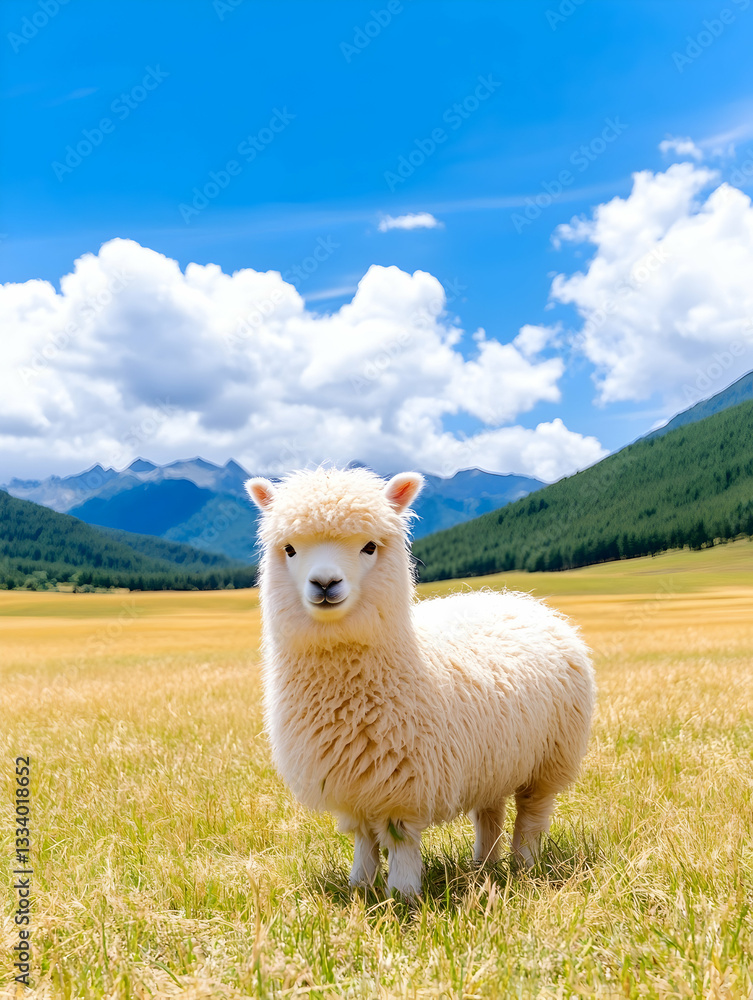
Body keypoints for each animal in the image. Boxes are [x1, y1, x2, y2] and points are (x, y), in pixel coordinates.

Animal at [246, 466, 595, 896]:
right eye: (290, 549)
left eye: (369, 547)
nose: (325, 584)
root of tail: (520, 601)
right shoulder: (354, 782)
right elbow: (364, 838)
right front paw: (360, 887)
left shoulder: (405, 783)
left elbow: (399, 840)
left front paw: (404, 893)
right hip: (494, 757)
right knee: (490, 811)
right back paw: (484, 865)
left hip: (549, 758)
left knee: (532, 814)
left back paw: (524, 865)